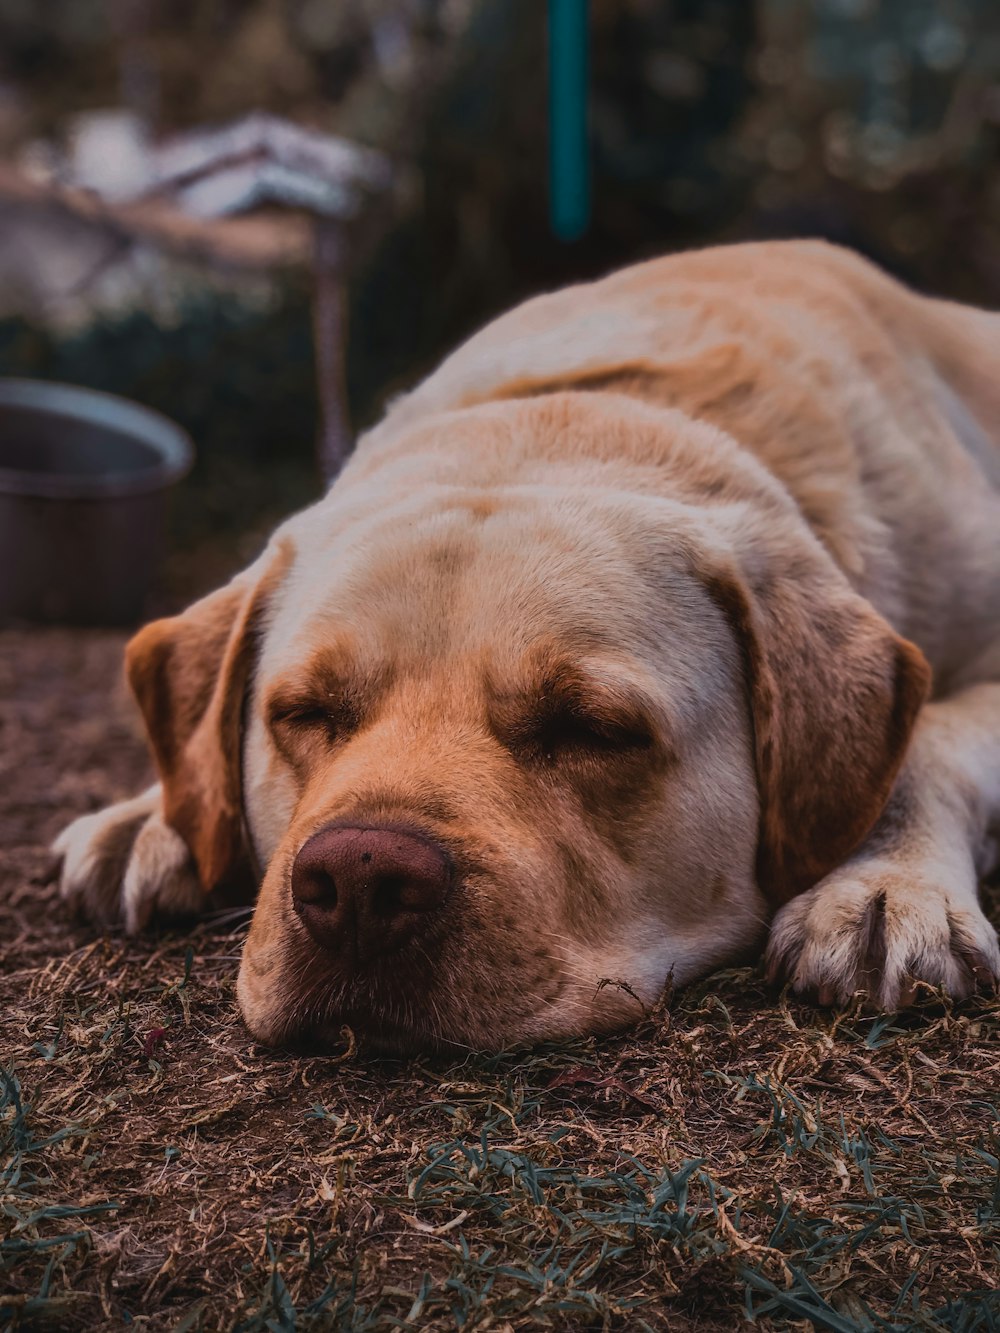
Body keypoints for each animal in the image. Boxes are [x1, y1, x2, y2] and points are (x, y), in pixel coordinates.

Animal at [53, 239, 1000, 1050]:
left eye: (592, 727)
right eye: (304, 712)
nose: (360, 878)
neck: (588, 415)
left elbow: (931, 742)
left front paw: (886, 883)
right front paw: (150, 814)